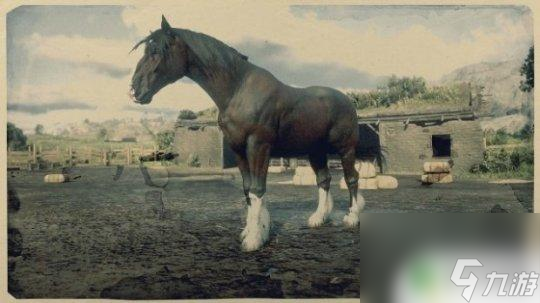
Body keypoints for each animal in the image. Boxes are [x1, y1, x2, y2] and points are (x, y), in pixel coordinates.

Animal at [131, 16, 364, 252]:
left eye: (157, 51)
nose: (134, 90)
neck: (238, 90)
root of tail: (347, 101)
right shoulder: (238, 149)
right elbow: (247, 189)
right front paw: (254, 230)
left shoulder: (258, 146)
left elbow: (257, 188)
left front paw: (254, 238)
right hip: (315, 151)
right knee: (324, 180)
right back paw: (319, 218)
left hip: (345, 149)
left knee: (351, 178)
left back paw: (352, 218)